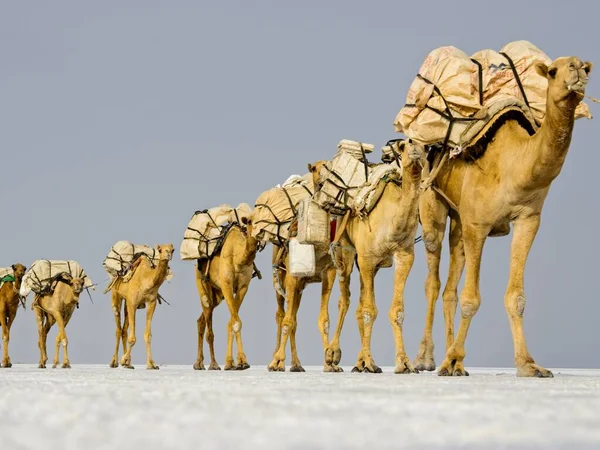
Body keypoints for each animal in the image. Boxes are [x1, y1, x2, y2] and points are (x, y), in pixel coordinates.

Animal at [193, 217, 262, 370]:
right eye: (250, 222)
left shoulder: (243, 287)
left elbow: (233, 322)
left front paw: (236, 362)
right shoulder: (226, 285)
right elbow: (235, 322)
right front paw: (237, 362)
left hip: (217, 296)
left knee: (201, 320)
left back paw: (199, 363)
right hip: (202, 283)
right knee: (208, 326)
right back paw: (212, 364)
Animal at [310, 141, 426, 372]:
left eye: (425, 146)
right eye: (404, 145)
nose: (416, 151)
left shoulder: (404, 255)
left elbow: (396, 311)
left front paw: (404, 363)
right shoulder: (366, 257)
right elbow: (369, 311)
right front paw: (371, 363)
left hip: (370, 265)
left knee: (358, 303)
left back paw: (359, 362)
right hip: (346, 252)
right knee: (345, 300)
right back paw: (333, 354)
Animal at [412, 57, 592, 380]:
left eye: (586, 68)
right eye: (553, 71)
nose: (576, 70)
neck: (515, 165)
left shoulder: (528, 219)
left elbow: (516, 296)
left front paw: (529, 365)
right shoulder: (478, 224)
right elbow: (471, 298)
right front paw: (452, 360)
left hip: (459, 220)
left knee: (449, 286)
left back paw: (450, 358)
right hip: (432, 204)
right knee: (432, 281)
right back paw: (426, 359)